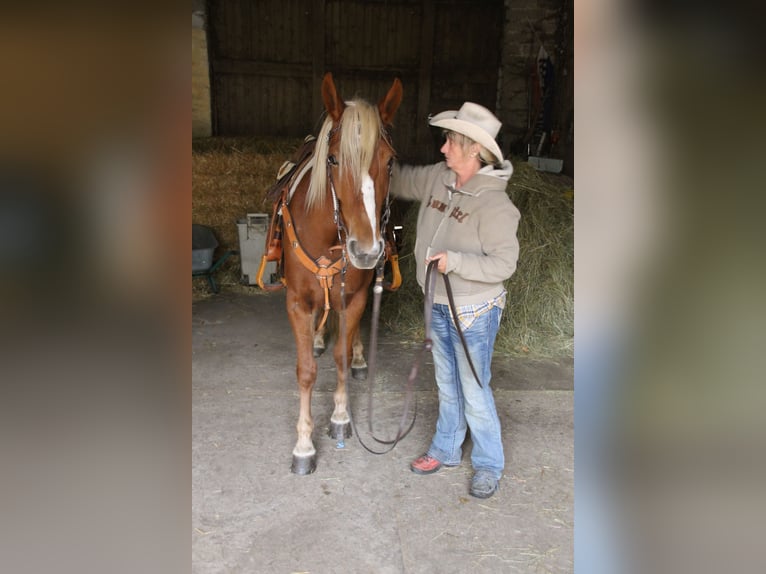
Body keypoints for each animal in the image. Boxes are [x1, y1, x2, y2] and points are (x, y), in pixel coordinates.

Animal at [280, 73, 403, 474]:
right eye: (333, 159)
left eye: (390, 162)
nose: (365, 250)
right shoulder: (297, 302)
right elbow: (306, 370)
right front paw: (303, 445)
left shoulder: (356, 296)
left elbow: (342, 358)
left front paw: (339, 417)